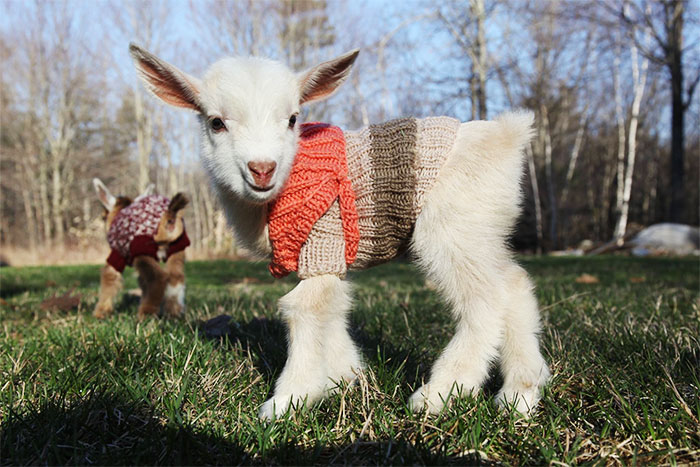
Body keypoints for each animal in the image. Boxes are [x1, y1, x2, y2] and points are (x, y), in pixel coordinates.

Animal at [93, 178, 190, 321]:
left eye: (103, 216)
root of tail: (169, 216)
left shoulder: (117, 255)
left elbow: (109, 277)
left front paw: (101, 312)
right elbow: (142, 282)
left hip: (141, 249)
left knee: (158, 277)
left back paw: (145, 315)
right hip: (177, 247)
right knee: (176, 277)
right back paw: (173, 312)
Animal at [129, 44, 550, 420]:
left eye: (293, 119)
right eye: (216, 122)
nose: (262, 168)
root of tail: (507, 136)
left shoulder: (323, 238)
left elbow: (304, 307)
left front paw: (289, 400)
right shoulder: (323, 257)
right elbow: (332, 309)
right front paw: (345, 377)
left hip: (451, 229)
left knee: (486, 299)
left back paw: (440, 394)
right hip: (482, 229)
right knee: (514, 284)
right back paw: (521, 394)